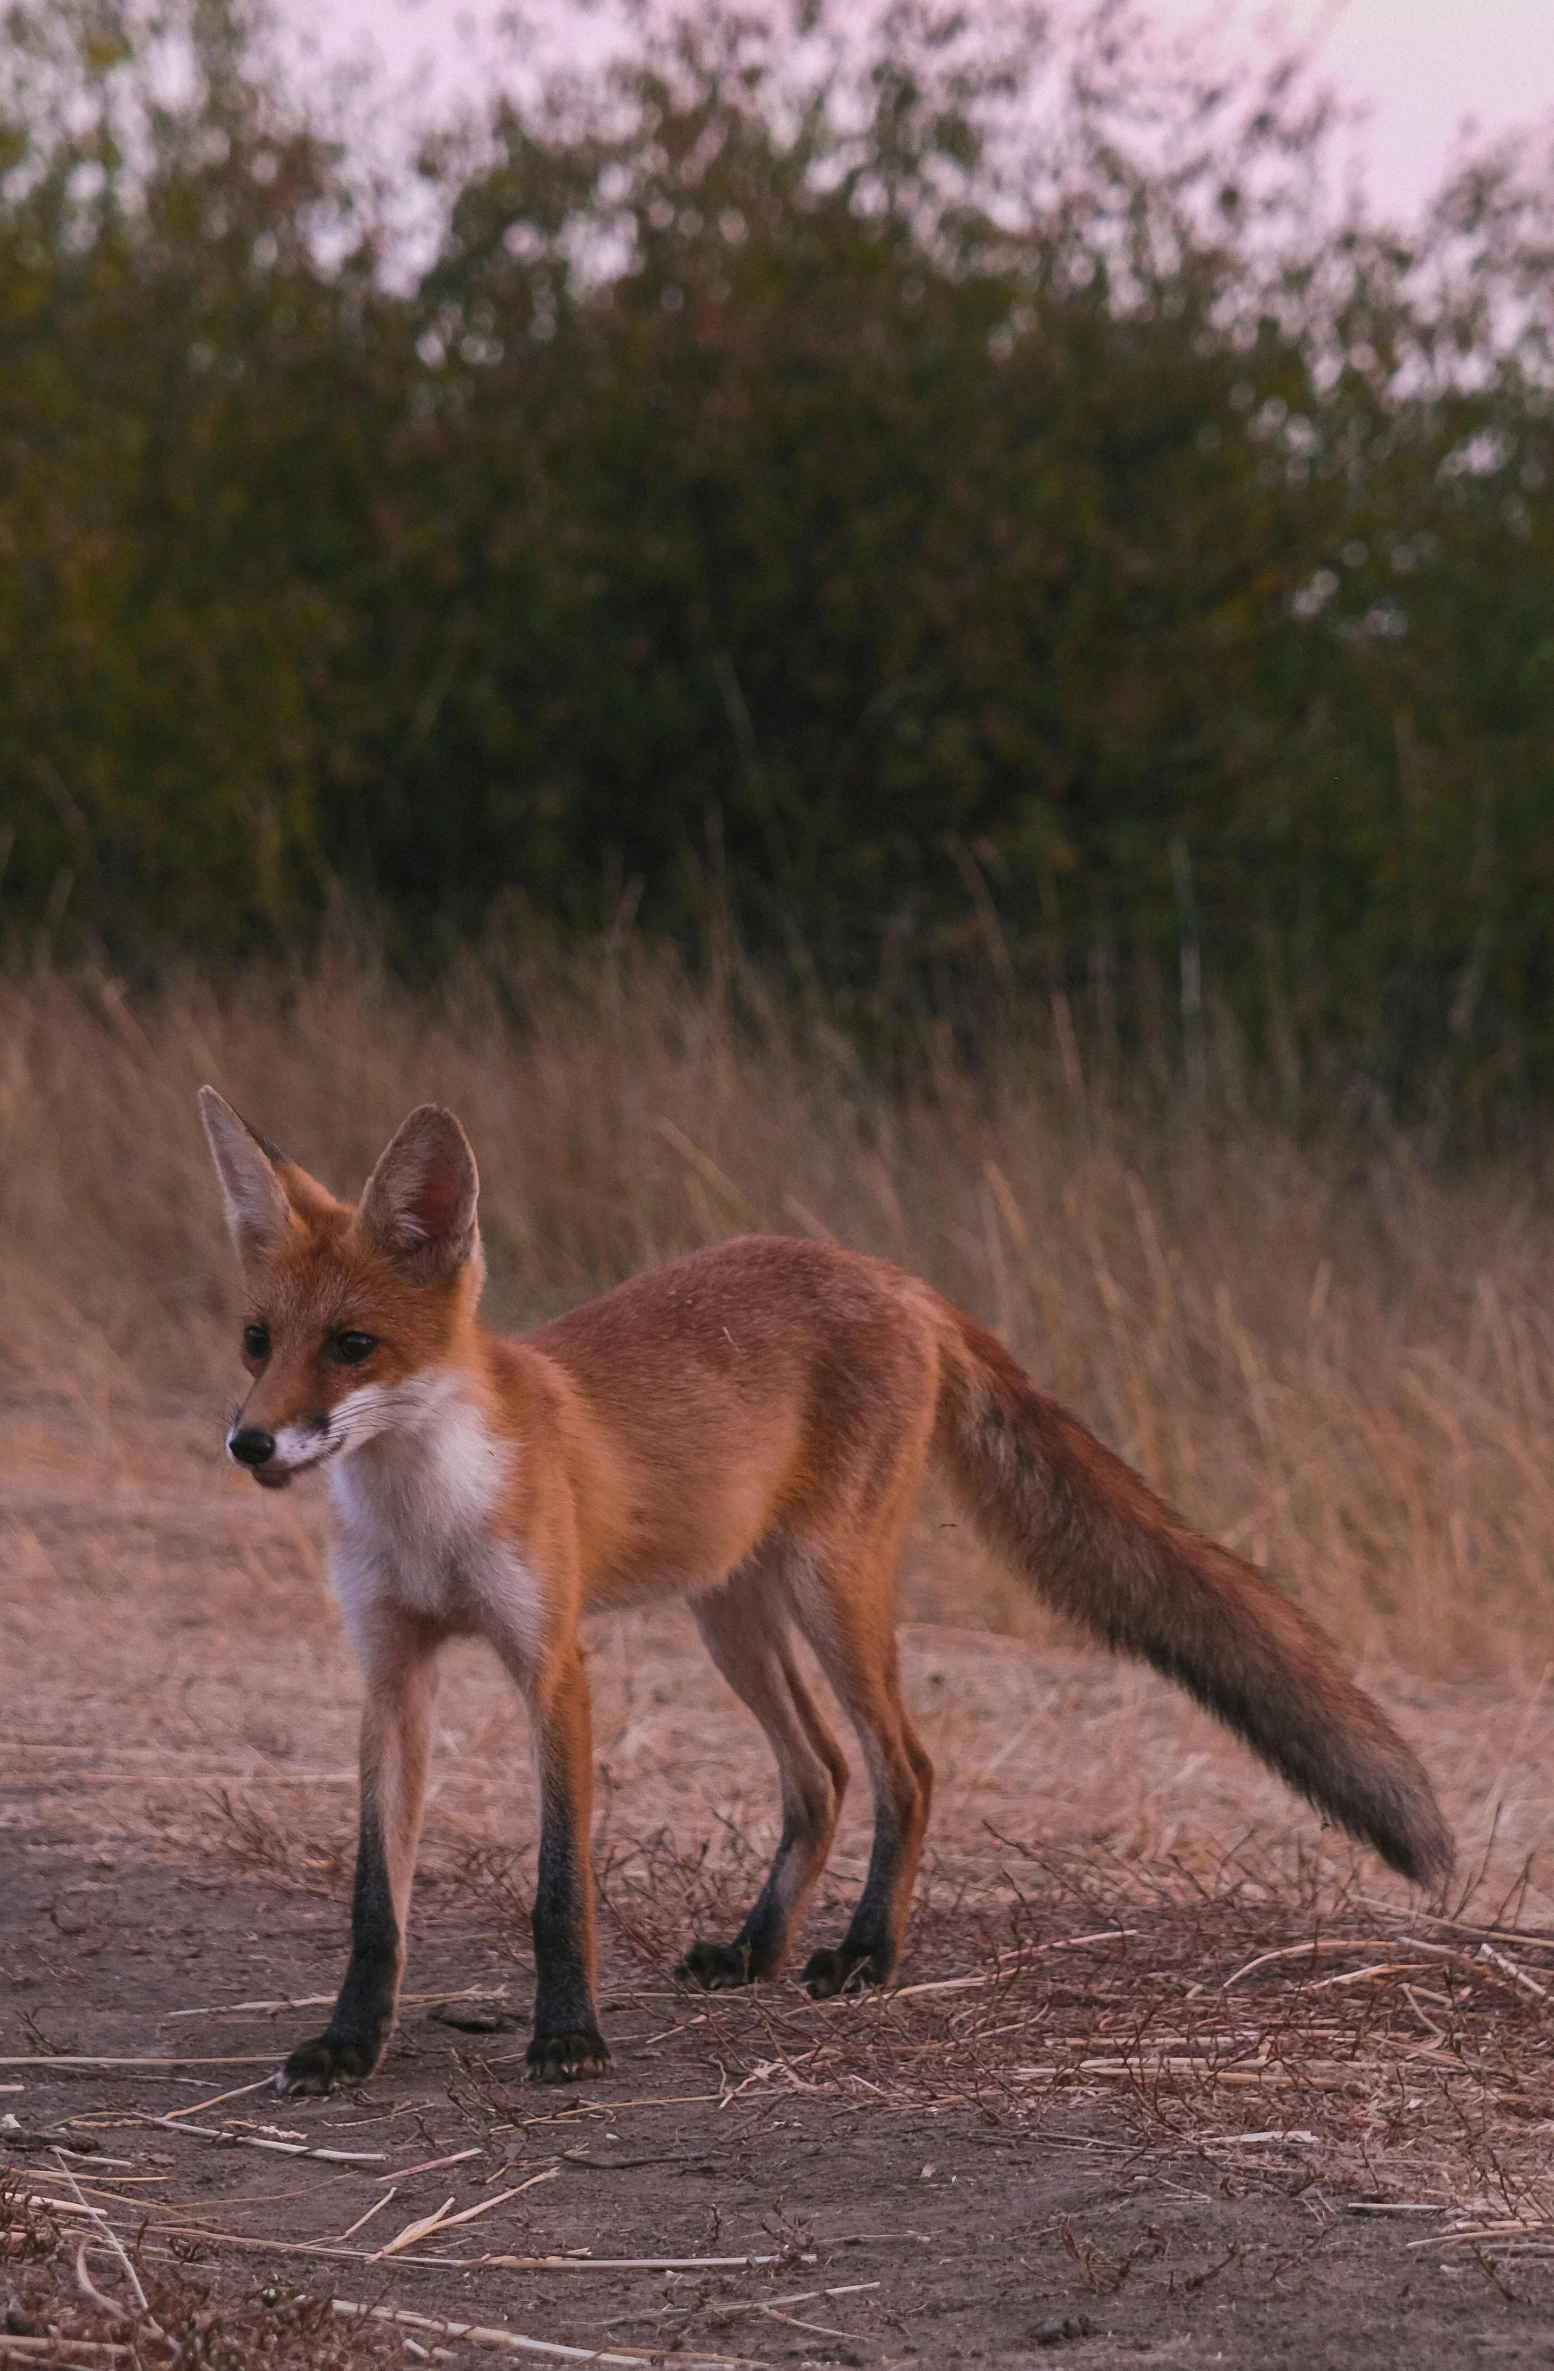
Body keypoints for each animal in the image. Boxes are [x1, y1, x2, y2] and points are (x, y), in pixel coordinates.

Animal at [198, 1090, 1461, 2095]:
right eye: (257, 1339)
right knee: (822, 1773)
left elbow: (562, 1892)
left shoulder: (552, 1664)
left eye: (353, 1345)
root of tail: (891, 1273)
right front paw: (347, 2045)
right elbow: (376, 1905)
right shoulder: (391, 1672)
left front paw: (568, 2038)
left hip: (831, 1592)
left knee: (905, 1766)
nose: (249, 1442)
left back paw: (867, 1956)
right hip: (732, 1613)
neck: (427, 1515)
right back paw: (757, 1948)